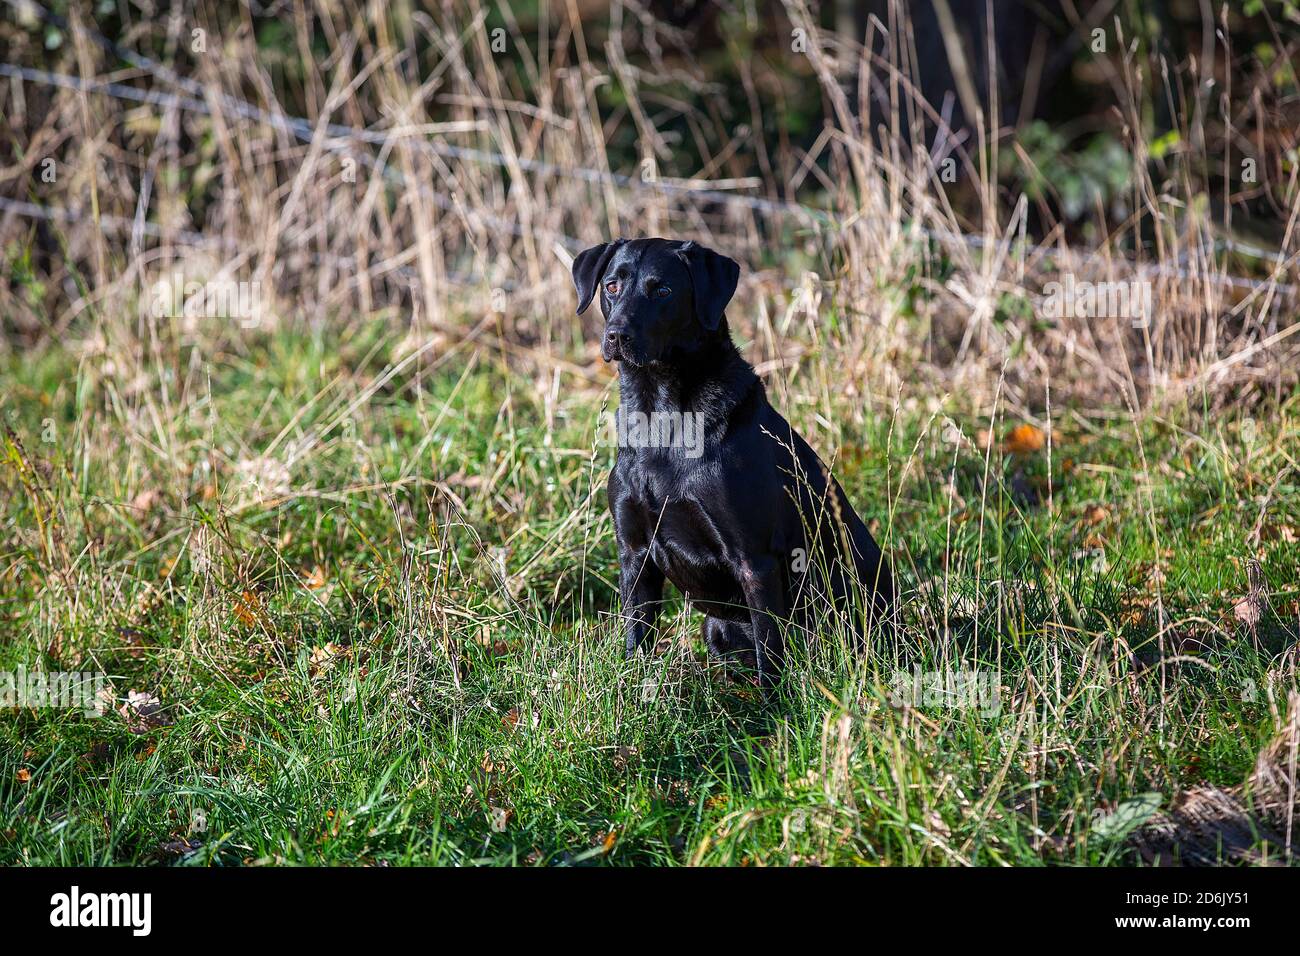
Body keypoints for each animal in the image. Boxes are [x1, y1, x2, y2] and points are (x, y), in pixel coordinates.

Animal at [574, 238, 899, 686]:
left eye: (663, 291)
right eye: (611, 286)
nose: (616, 335)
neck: (662, 417)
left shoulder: (753, 560)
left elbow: (771, 653)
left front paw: (774, 704)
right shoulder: (635, 553)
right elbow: (637, 639)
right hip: (716, 627)